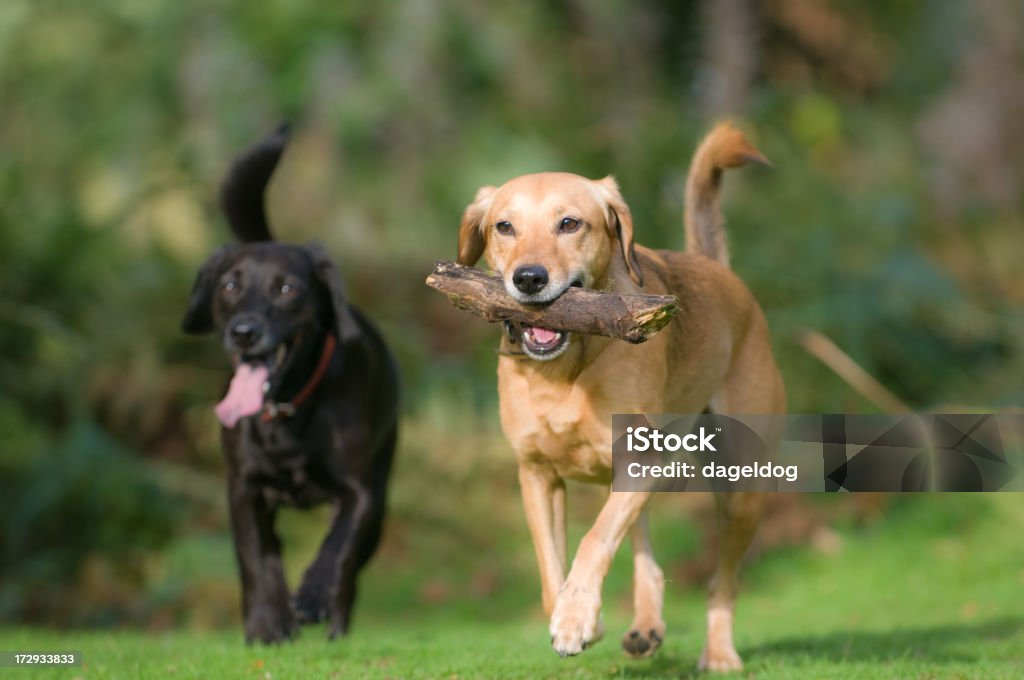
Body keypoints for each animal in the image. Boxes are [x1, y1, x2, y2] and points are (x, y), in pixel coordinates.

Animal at [182, 125, 397, 643]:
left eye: (287, 289)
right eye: (229, 286)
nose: (244, 331)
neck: (285, 411)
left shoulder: (359, 492)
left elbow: (337, 546)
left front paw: (314, 595)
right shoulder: (243, 490)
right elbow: (257, 560)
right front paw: (267, 623)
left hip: (381, 501)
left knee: (352, 567)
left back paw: (334, 622)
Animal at [456, 123, 782, 667]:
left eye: (570, 223)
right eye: (504, 227)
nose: (529, 278)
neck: (565, 371)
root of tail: (717, 270)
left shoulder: (641, 461)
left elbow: (593, 540)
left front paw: (575, 619)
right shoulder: (537, 476)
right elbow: (552, 567)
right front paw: (575, 614)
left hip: (741, 490)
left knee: (723, 582)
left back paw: (718, 652)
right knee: (645, 552)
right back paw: (646, 626)